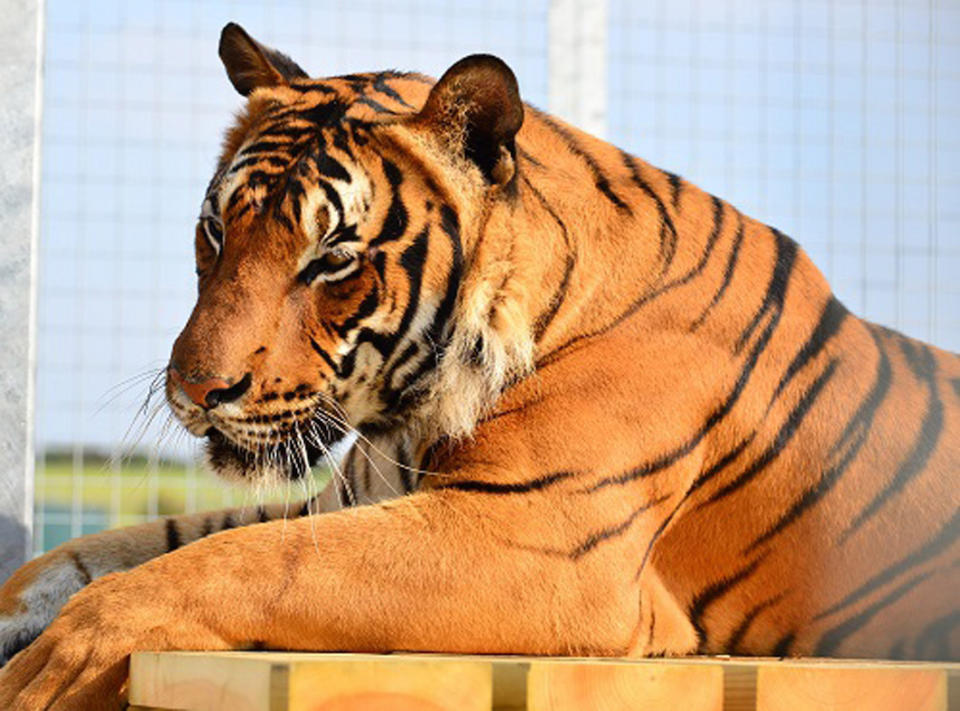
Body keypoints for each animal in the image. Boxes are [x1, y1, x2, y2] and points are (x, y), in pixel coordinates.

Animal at [1, 19, 960, 708]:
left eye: (332, 260)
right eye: (214, 229)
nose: (196, 390)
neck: (408, 410)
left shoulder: (536, 539)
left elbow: (260, 560)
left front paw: (61, 659)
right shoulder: (349, 497)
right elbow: (116, 547)